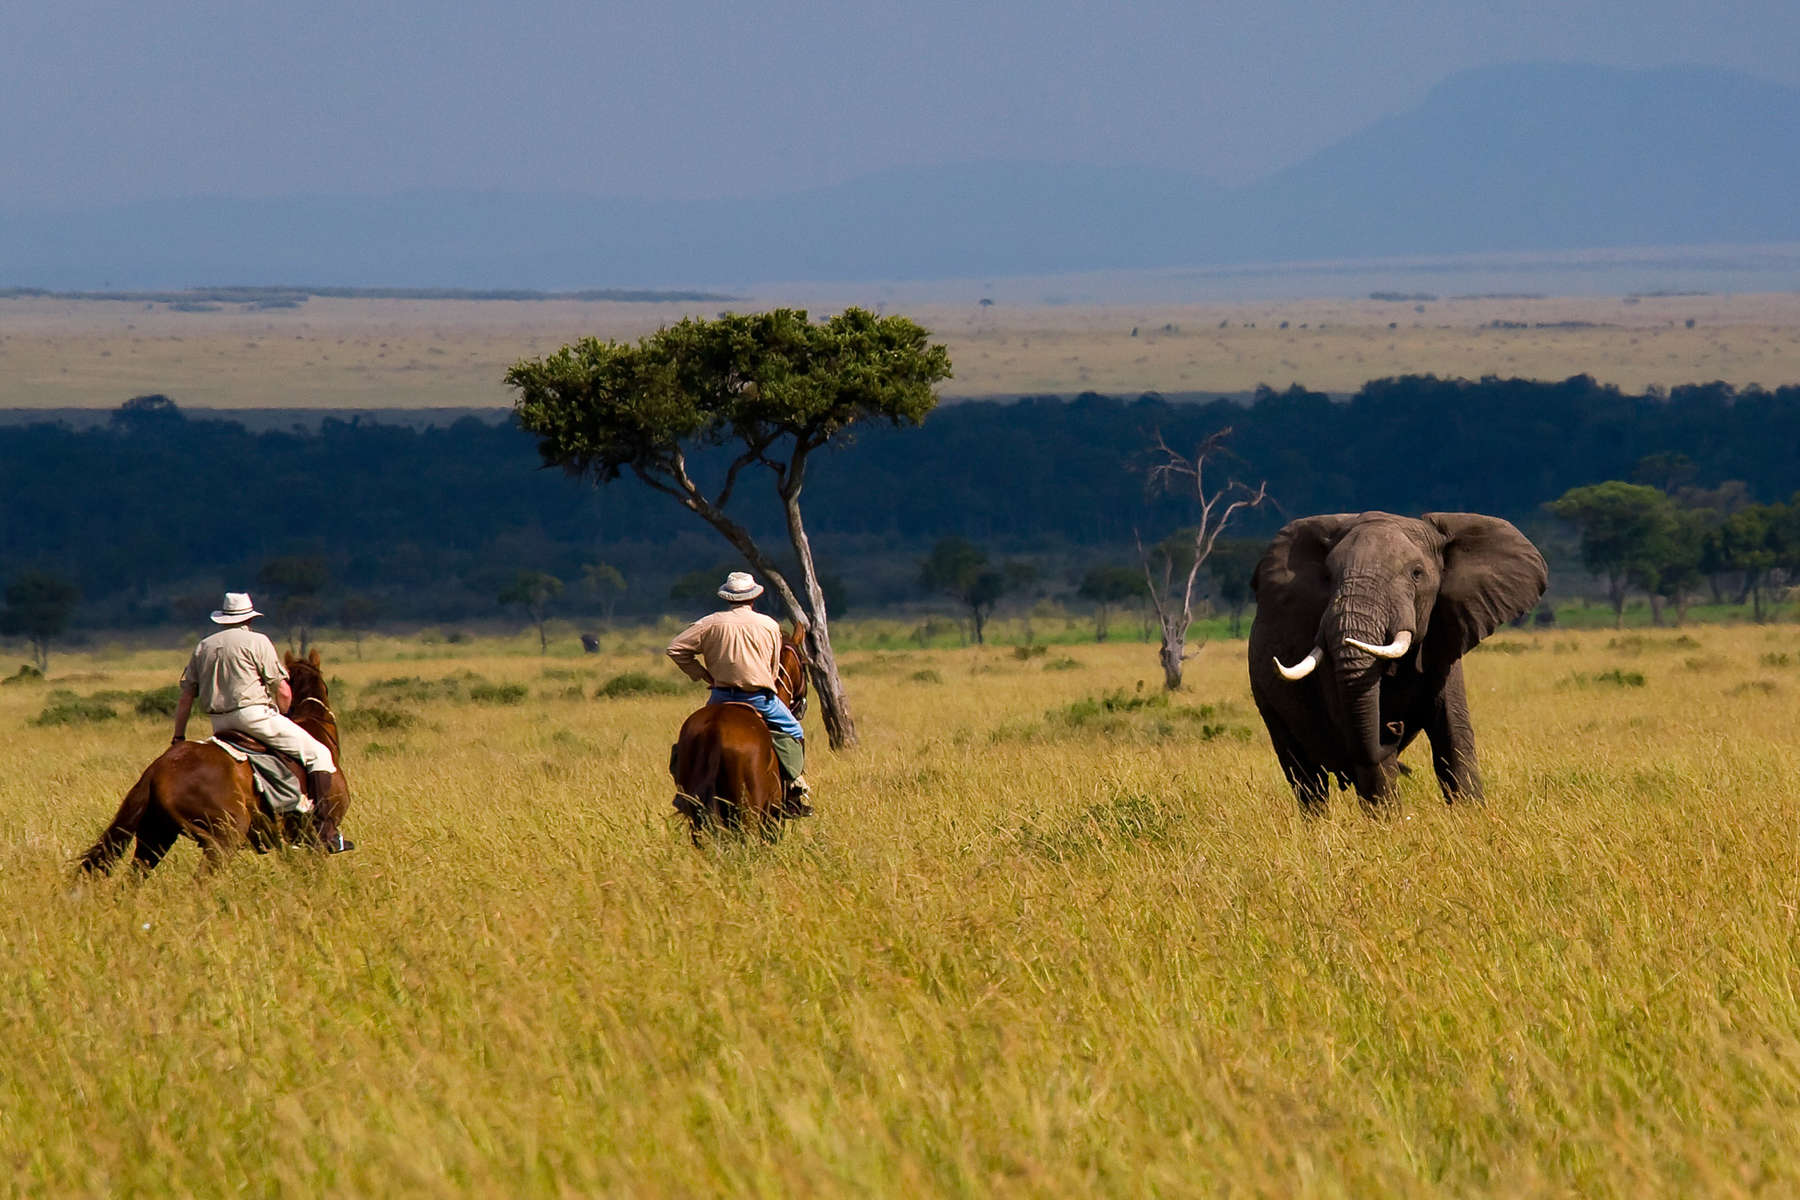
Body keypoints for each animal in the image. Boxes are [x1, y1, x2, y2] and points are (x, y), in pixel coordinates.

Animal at [1252, 510, 1548, 813]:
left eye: (1417, 574)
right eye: (1327, 576)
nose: (1394, 726)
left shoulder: (1443, 639)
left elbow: (1453, 733)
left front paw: (1470, 814)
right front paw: (1388, 823)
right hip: (1267, 702)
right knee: (1306, 777)